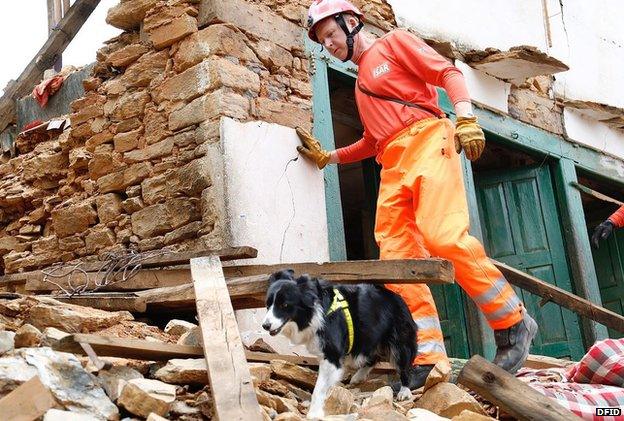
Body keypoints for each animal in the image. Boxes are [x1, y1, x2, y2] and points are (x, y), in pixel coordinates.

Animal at [260, 270, 416, 416]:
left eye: (284, 305)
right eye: (267, 305)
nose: (265, 326)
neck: (314, 313)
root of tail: (398, 297)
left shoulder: (331, 354)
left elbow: (320, 387)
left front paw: (314, 413)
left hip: (399, 338)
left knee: (402, 361)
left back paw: (404, 391)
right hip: (368, 335)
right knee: (373, 356)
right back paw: (358, 377)